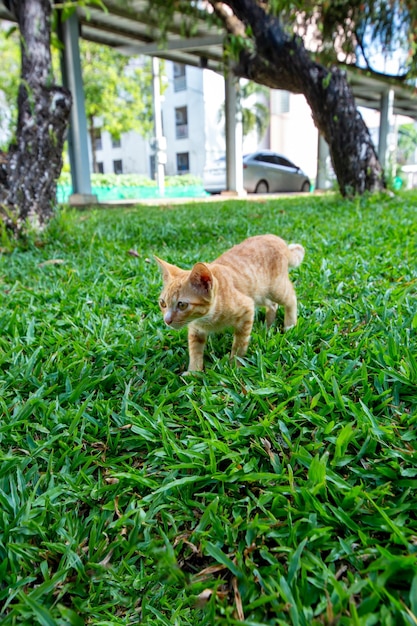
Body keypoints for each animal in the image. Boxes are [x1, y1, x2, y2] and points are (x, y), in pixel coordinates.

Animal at [154, 234, 304, 370]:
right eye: (163, 303)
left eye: (182, 305)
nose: (167, 320)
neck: (207, 318)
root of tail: (277, 239)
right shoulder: (196, 329)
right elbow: (195, 350)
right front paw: (194, 372)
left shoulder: (247, 308)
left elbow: (239, 345)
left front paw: (234, 367)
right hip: (259, 293)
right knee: (272, 304)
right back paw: (267, 326)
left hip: (276, 288)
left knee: (291, 297)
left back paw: (290, 325)